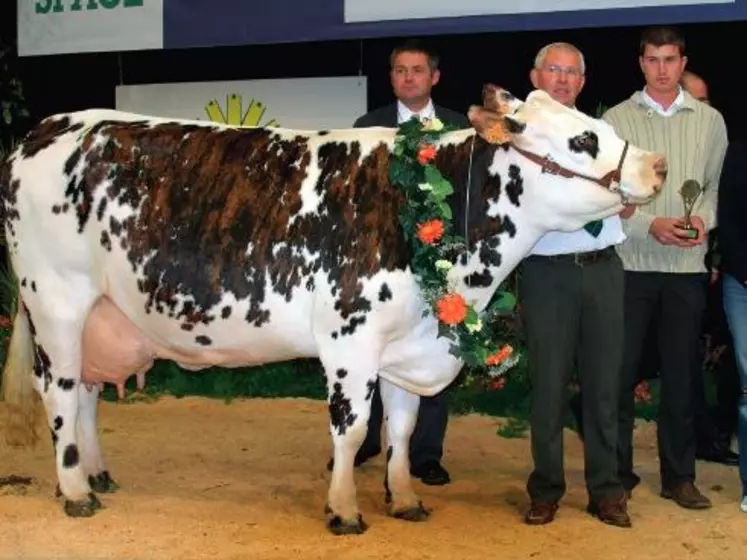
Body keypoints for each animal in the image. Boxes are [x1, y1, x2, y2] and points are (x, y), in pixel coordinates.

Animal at [0, 86, 668, 532]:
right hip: (56, 301)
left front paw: (404, 499)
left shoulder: (405, 344)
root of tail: (48, 127)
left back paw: (97, 472)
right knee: (60, 391)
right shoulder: (353, 338)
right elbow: (351, 429)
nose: (658, 165)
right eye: (583, 138)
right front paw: (344, 508)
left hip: (100, 312)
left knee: (87, 393)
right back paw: (74, 489)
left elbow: (400, 429)